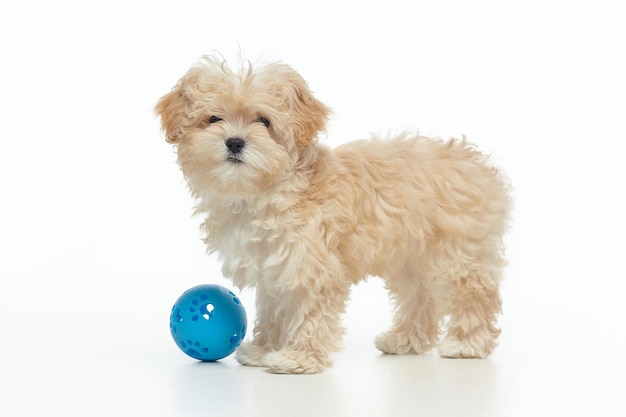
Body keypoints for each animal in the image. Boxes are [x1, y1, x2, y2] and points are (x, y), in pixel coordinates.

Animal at [155, 56, 508, 374]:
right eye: (214, 118)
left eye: (263, 121)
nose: (235, 142)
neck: (264, 192)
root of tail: (474, 162)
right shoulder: (274, 269)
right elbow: (273, 311)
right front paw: (265, 349)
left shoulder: (312, 266)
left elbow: (310, 312)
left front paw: (299, 358)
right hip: (409, 259)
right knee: (418, 298)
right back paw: (405, 340)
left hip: (458, 253)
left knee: (474, 294)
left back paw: (467, 343)